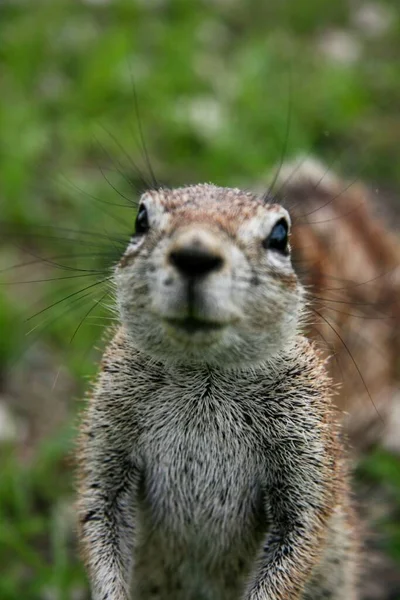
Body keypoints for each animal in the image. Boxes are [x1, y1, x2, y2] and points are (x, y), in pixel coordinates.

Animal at [76, 185, 358, 596]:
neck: (206, 373)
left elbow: (300, 532)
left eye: (279, 236)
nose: (195, 254)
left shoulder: (307, 441)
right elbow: (100, 507)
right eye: (141, 219)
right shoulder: (110, 422)